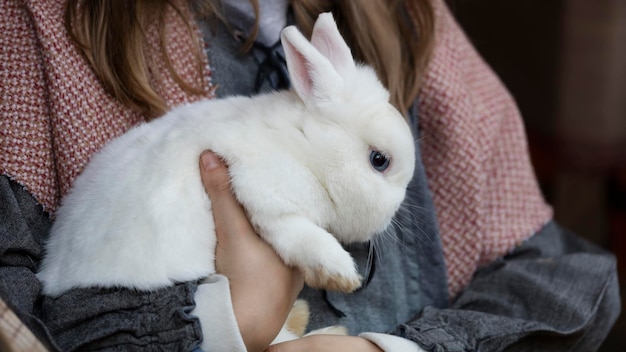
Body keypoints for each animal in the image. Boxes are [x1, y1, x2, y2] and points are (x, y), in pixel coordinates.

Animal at [36, 12, 412, 302]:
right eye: (379, 160)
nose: (393, 214)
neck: (307, 149)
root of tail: (52, 273)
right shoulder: (265, 197)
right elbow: (302, 236)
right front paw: (341, 274)